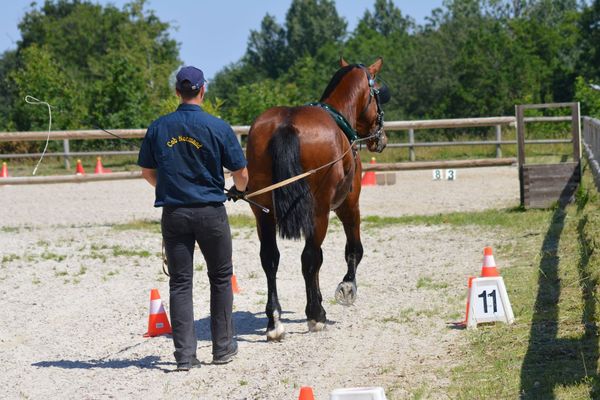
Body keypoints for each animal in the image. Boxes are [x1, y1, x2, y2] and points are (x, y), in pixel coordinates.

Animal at [244, 57, 390, 340]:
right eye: (378, 93)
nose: (381, 138)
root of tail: (287, 124)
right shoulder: (348, 205)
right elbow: (353, 249)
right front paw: (347, 287)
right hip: (320, 212)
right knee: (309, 257)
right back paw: (316, 316)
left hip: (263, 213)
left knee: (270, 259)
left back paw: (274, 321)